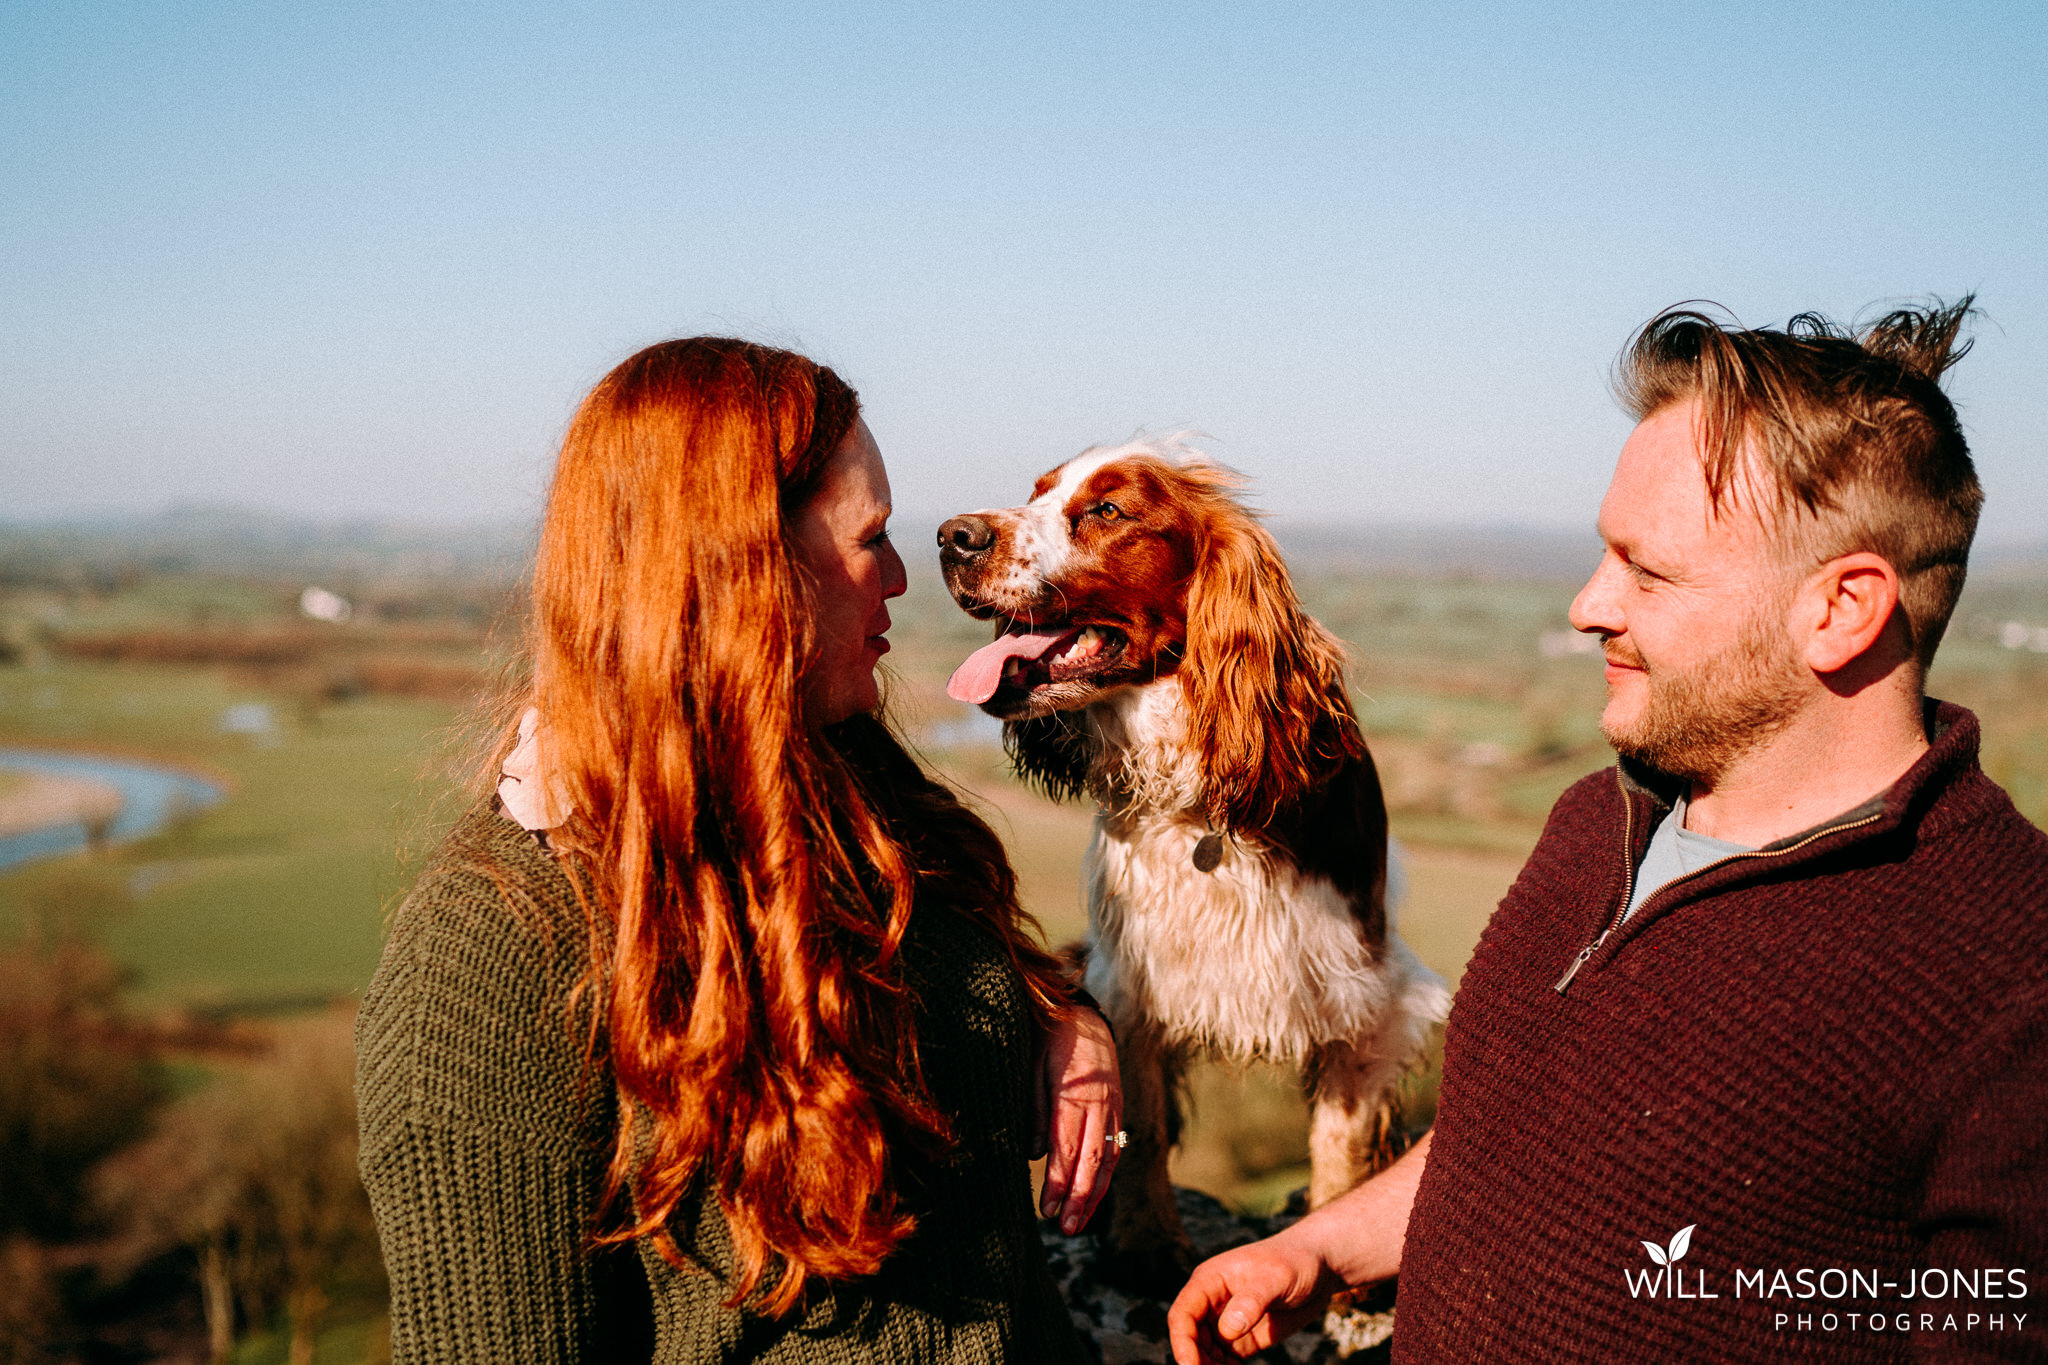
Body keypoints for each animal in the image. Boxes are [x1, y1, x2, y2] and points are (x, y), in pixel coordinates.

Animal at [937, 435, 1449, 1293]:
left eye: (1108, 509)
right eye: (1035, 492)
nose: (951, 537)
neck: (1200, 800)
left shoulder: (1362, 996)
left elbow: (1338, 1143)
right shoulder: (1133, 981)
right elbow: (1139, 1122)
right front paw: (1145, 1244)